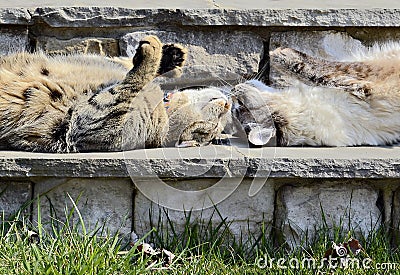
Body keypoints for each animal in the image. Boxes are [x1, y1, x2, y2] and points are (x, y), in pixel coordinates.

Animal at [0, 35, 231, 153]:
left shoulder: (89, 126)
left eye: (211, 131)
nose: (228, 105)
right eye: (215, 127)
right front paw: (169, 57)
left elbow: (129, 85)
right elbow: (123, 64)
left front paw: (153, 52)